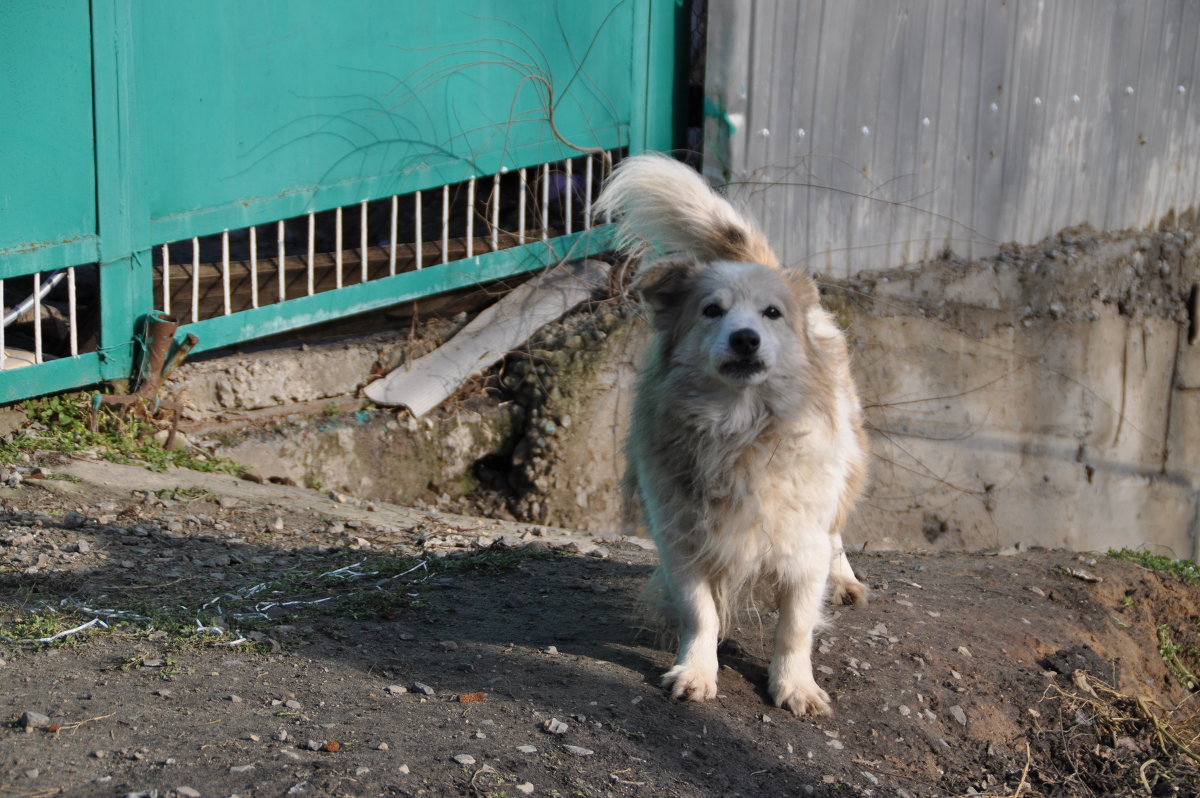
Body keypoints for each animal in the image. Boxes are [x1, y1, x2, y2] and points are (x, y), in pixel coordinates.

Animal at [595, 152, 868, 710]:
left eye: (772, 314)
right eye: (711, 310)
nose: (745, 339)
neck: (739, 429)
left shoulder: (802, 547)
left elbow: (795, 627)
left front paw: (795, 684)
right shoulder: (683, 541)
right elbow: (700, 614)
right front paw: (696, 671)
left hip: (845, 468)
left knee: (836, 531)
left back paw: (844, 579)